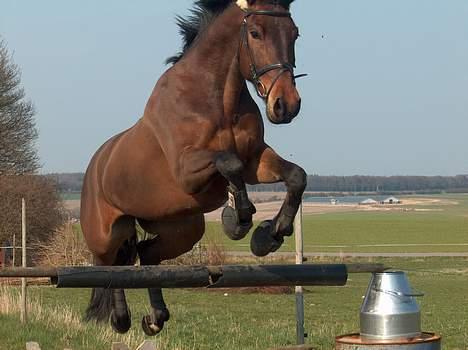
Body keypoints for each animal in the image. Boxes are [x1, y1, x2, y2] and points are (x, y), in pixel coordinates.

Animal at [80, 0, 308, 334]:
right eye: (255, 33)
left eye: (295, 33)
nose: (286, 105)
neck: (217, 97)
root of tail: (94, 165)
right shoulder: (187, 172)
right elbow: (228, 162)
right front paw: (238, 220)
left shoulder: (255, 161)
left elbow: (295, 176)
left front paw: (270, 235)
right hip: (106, 233)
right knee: (109, 264)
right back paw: (121, 319)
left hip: (182, 229)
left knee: (145, 254)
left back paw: (155, 318)